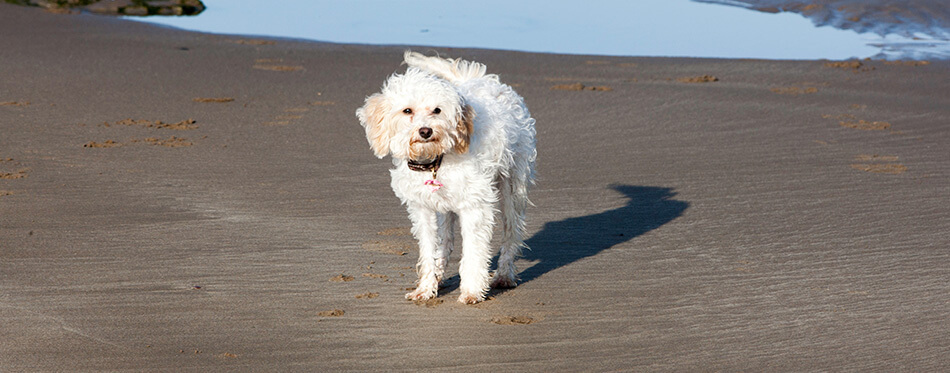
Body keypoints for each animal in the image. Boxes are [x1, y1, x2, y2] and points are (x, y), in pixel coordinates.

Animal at [356, 51, 536, 302]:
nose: (425, 131)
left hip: (513, 190)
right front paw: (425, 288)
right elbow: (429, 250)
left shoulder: (475, 207)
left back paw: (504, 275)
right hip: (445, 211)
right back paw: (439, 278)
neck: (435, 162)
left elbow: (474, 252)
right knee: (446, 242)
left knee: (512, 232)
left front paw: (471, 291)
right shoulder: (423, 210)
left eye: (437, 110)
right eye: (407, 111)